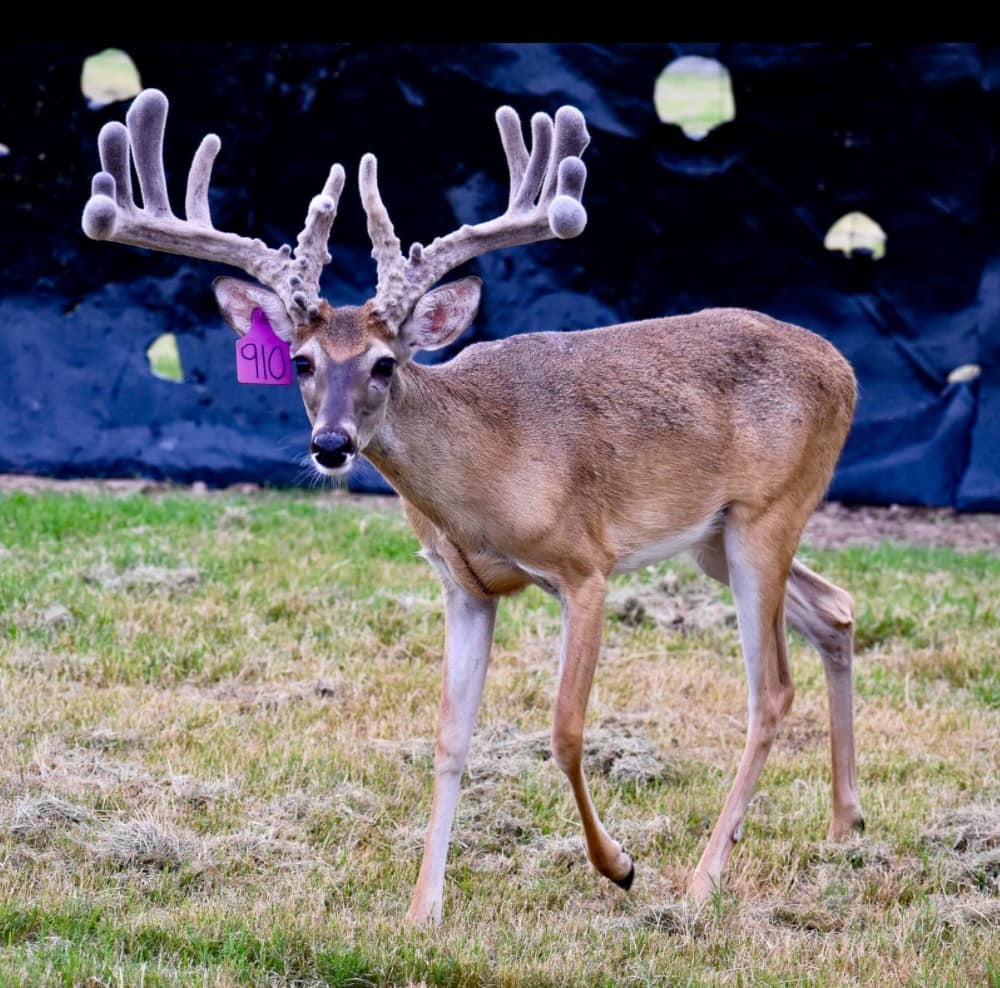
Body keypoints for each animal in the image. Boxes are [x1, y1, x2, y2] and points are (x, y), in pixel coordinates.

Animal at [81, 88, 864, 926]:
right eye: (300, 361)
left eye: (385, 364)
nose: (330, 444)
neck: (484, 475)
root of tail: (845, 370)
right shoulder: (463, 586)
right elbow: (450, 738)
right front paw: (423, 908)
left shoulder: (586, 566)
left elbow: (564, 730)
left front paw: (618, 865)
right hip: (712, 538)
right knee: (836, 609)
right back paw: (845, 823)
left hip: (767, 514)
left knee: (771, 689)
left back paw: (702, 878)